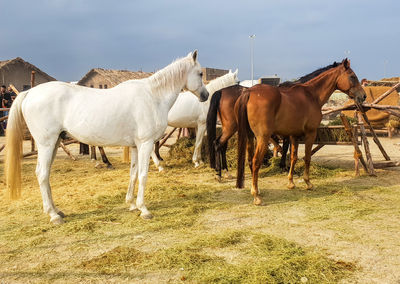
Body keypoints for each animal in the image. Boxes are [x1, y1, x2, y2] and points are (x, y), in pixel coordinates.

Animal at [5, 51, 209, 224]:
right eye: (200, 73)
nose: (206, 96)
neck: (153, 96)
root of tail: (30, 93)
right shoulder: (146, 144)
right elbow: (143, 175)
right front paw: (144, 209)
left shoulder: (135, 146)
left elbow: (133, 173)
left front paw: (132, 204)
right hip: (46, 144)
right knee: (42, 174)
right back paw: (54, 216)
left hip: (55, 143)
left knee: (45, 176)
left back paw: (57, 211)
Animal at [238, 58, 366, 205]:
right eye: (352, 76)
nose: (363, 96)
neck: (312, 95)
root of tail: (250, 92)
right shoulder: (310, 133)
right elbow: (307, 157)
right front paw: (308, 183)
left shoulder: (294, 135)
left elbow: (293, 158)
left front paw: (291, 183)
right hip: (262, 138)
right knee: (255, 161)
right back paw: (256, 196)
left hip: (250, 137)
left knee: (250, 160)